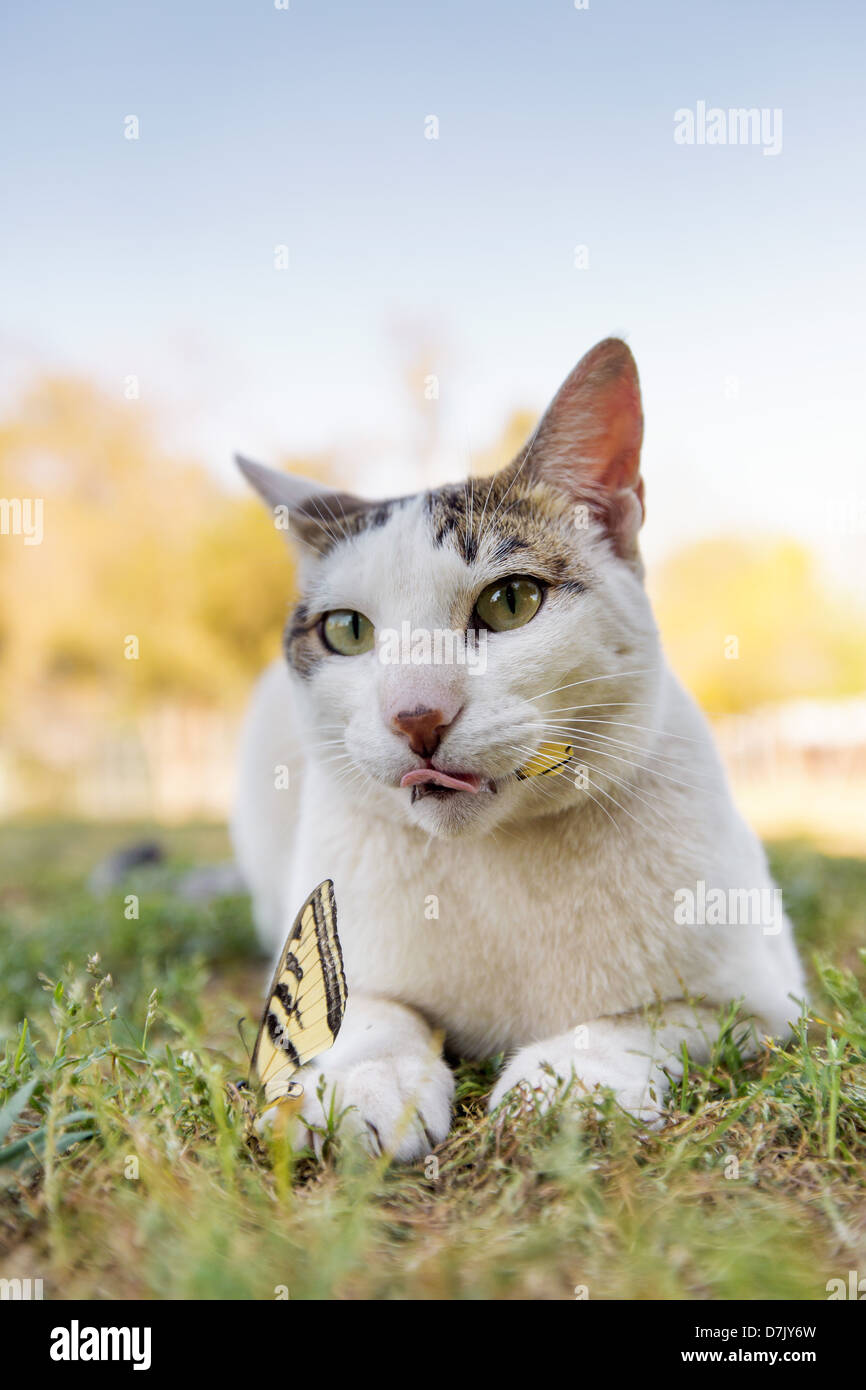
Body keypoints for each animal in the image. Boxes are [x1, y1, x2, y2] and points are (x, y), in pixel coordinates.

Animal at [232, 339, 806, 1162]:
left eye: (510, 603)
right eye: (347, 630)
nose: (416, 714)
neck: (497, 860)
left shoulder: (760, 1003)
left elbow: (631, 1022)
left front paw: (563, 1086)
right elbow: (373, 1013)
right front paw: (370, 1084)